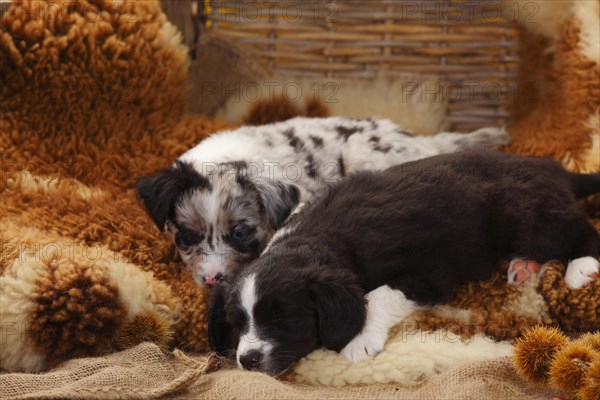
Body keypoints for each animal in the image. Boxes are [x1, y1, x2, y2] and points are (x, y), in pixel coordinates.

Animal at [209, 150, 600, 376]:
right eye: (237, 324)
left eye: (282, 319)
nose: (247, 360)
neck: (316, 239)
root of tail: (555, 169)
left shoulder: (430, 270)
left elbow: (379, 294)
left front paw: (359, 338)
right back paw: (524, 266)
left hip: (528, 217)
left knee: (580, 227)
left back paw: (581, 267)